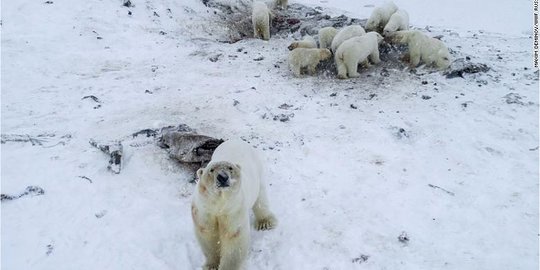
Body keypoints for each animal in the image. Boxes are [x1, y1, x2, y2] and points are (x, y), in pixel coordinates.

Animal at [193, 139, 278, 270]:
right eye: (211, 170)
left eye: (230, 168)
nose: (222, 177)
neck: (219, 203)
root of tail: (236, 140)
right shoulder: (204, 210)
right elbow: (208, 234)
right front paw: (211, 266)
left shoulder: (233, 209)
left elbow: (234, 237)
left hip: (257, 173)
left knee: (261, 198)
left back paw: (265, 222)